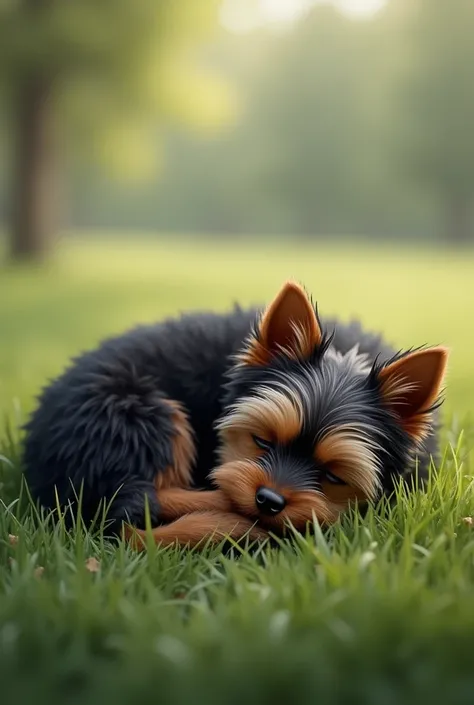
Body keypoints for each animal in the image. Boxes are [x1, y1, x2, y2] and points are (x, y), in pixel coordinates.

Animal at [22, 280, 450, 544]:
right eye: (261, 440)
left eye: (333, 476)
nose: (269, 501)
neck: (345, 361)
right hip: (135, 411)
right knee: (142, 504)